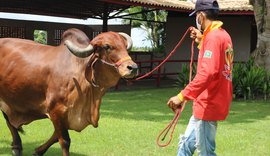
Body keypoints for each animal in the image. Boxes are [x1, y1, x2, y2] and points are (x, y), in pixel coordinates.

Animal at [0, 28, 138, 156]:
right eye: (107, 46)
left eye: (125, 45)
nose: (133, 68)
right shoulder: (56, 109)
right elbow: (64, 140)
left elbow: (56, 136)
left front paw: (37, 151)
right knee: (8, 120)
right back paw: (17, 147)